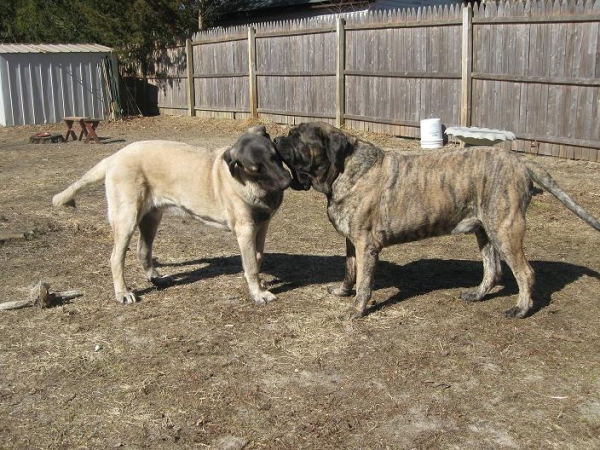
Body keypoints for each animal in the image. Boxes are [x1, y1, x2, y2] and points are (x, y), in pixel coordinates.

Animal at [52, 125, 292, 304]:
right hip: (127, 218)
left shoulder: (262, 225)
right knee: (115, 258)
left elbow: (257, 257)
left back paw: (156, 279)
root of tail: (112, 158)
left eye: (274, 156)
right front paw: (258, 293)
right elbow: (250, 265)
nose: (287, 182)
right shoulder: (246, 229)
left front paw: (260, 284)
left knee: (143, 251)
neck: (253, 184)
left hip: (151, 218)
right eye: (256, 168)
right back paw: (123, 293)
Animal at [274, 121, 596, 318]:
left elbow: (364, 281)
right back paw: (477, 295)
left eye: (296, 138)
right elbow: (349, 270)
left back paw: (521, 309)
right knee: (493, 270)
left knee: (525, 273)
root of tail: (521, 161)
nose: (276, 138)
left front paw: (357, 309)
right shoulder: (352, 242)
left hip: (505, 229)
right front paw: (342, 292)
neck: (344, 169)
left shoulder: (366, 244)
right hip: (486, 231)